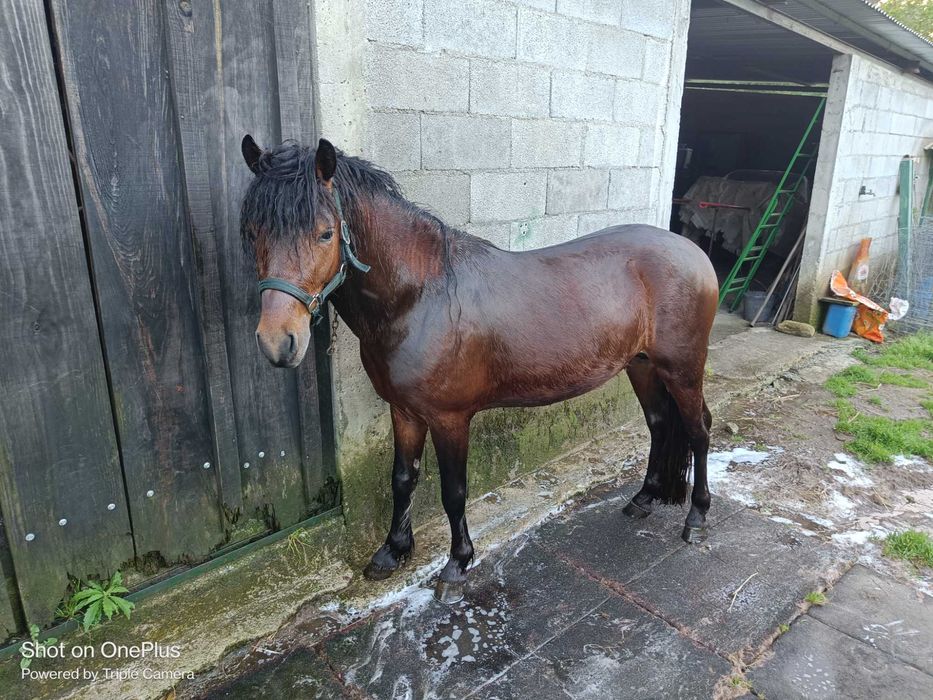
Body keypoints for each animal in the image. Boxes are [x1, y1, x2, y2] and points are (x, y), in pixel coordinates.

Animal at [240, 136, 718, 603]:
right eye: (252, 232)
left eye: (325, 233)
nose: (278, 341)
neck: (420, 297)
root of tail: (691, 251)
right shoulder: (404, 411)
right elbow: (402, 479)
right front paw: (392, 551)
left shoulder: (450, 419)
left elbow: (453, 491)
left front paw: (456, 565)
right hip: (641, 366)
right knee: (660, 424)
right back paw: (644, 499)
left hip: (683, 369)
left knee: (698, 430)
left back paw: (696, 518)